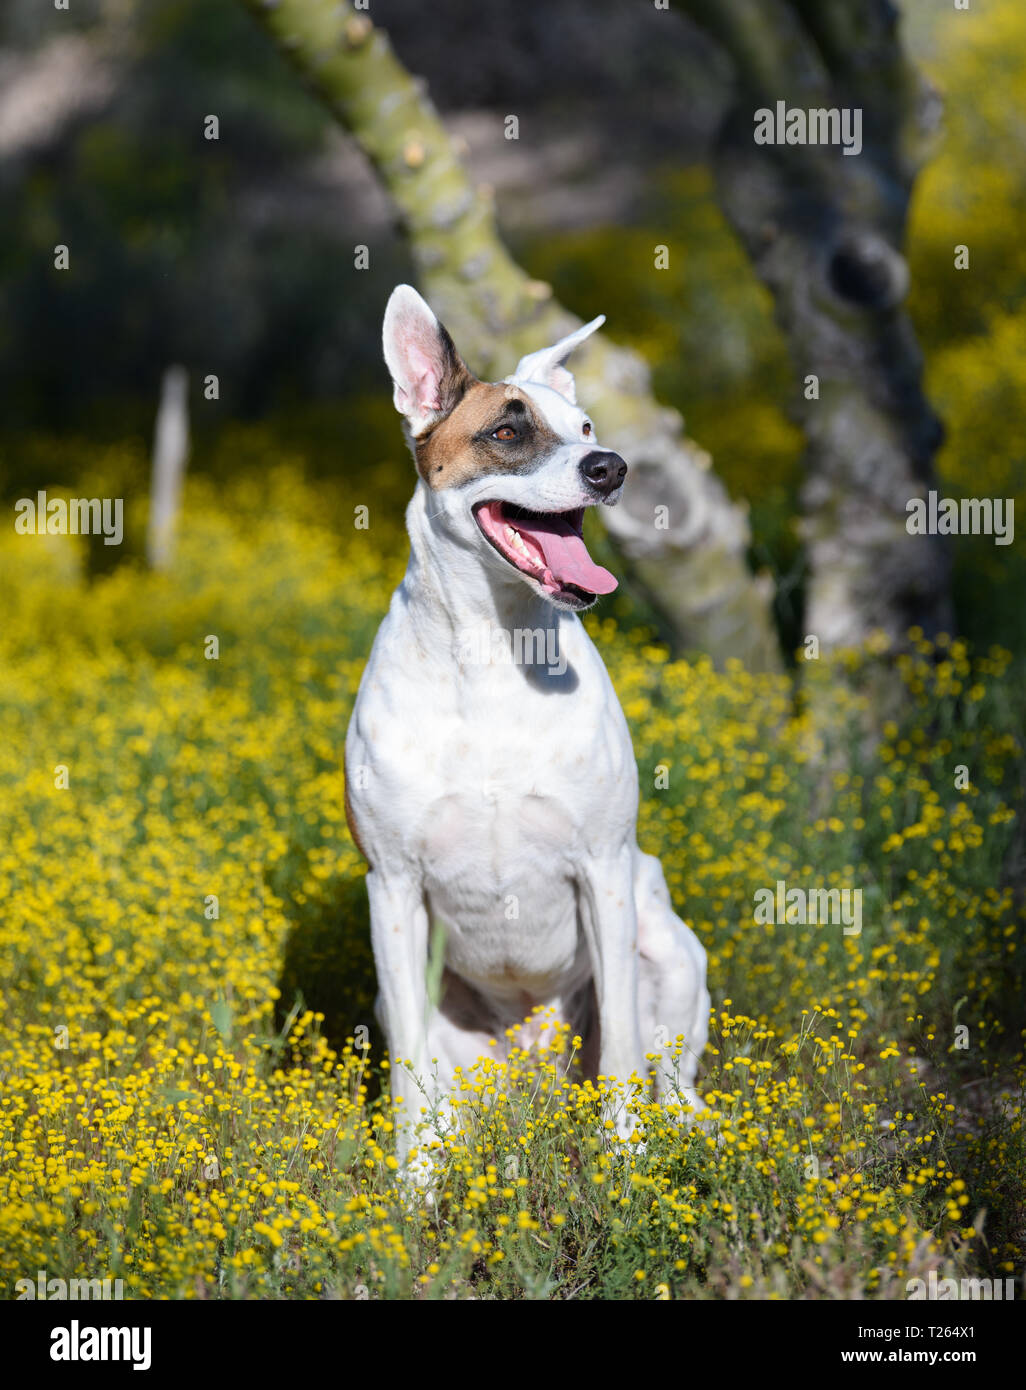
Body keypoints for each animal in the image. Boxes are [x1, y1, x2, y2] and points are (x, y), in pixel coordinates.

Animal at [339, 287, 706, 1178]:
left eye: (585, 426)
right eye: (507, 432)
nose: (611, 466)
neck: (492, 655)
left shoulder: (604, 869)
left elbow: (623, 1055)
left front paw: (623, 1175)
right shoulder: (390, 888)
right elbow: (408, 1076)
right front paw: (413, 1192)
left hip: (669, 948)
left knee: (670, 1082)